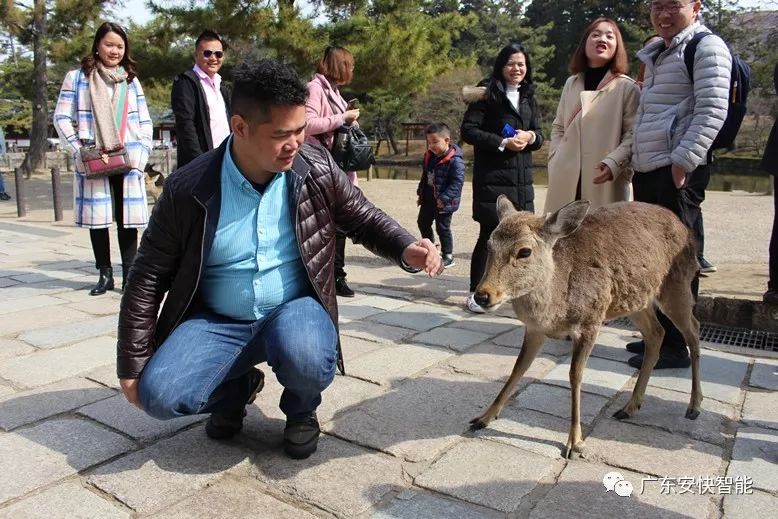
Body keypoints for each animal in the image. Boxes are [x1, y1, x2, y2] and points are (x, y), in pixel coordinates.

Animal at [470, 198, 700, 460]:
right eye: (489, 245)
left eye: (524, 251)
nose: (482, 295)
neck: (555, 306)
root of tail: (686, 229)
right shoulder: (535, 329)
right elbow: (518, 368)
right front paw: (484, 417)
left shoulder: (591, 321)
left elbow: (575, 375)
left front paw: (574, 442)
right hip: (636, 300)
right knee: (657, 332)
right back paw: (629, 407)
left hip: (677, 285)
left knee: (693, 331)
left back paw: (694, 406)